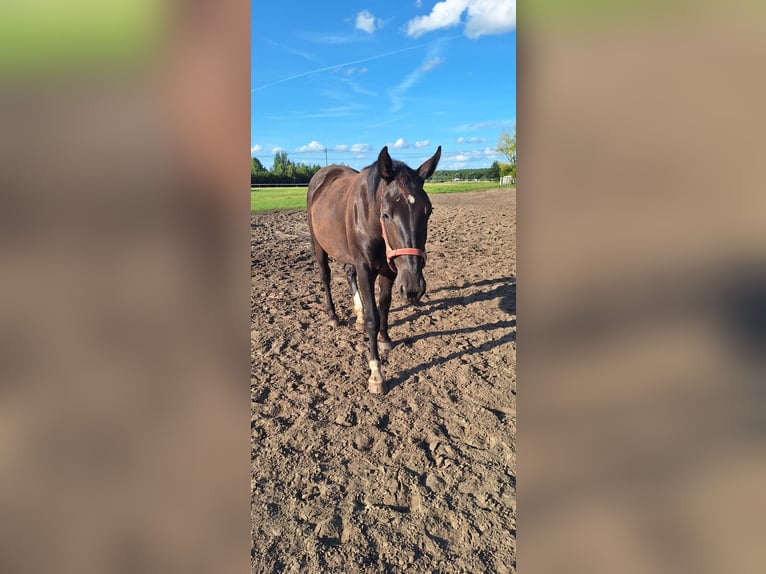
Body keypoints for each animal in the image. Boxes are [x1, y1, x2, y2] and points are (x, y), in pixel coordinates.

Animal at [304, 146, 440, 394]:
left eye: (428, 212)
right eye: (386, 213)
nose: (413, 289)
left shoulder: (390, 270)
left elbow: (384, 305)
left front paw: (385, 338)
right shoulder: (366, 269)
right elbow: (372, 318)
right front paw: (376, 374)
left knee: (349, 273)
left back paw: (356, 315)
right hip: (318, 245)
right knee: (325, 277)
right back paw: (333, 316)